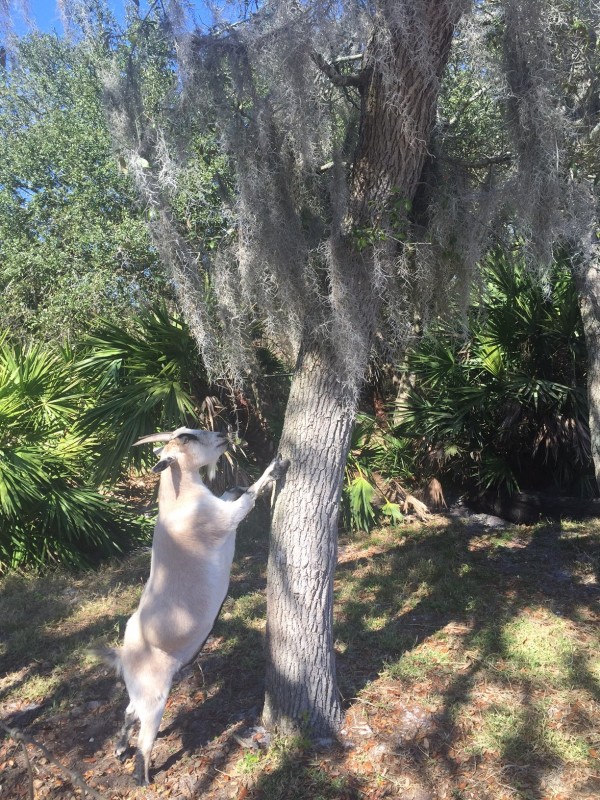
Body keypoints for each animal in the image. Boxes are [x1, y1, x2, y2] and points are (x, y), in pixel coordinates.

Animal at [96, 428, 288, 784]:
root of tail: (124, 655)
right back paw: (142, 776)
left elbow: (232, 493)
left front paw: (235, 484)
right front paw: (274, 467)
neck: (179, 502)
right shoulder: (225, 519)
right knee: (145, 734)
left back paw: (118, 749)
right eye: (187, 437)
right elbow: (249, 496)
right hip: (155, 694)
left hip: (141, 690)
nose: (223, 434)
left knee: (129, 710)